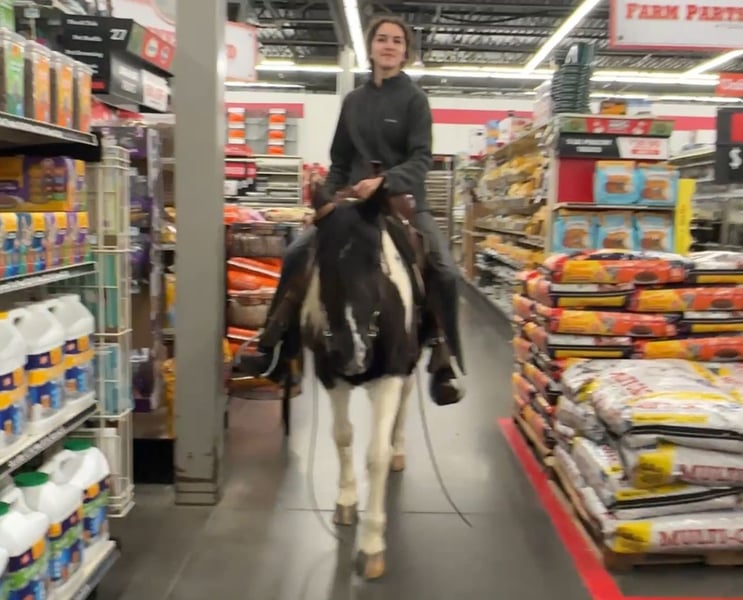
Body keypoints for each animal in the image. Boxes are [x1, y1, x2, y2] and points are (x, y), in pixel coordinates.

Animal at [300, 183, 424, 580]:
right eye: (320, 260)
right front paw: (346, 500)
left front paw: (371, 545)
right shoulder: (331, 377)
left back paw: (399, 449)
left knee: (403, 408)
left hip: (410, 365)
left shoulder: (390, 376)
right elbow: (342, 436)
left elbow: (376, 455)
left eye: (376, 262)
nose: (348, 350)